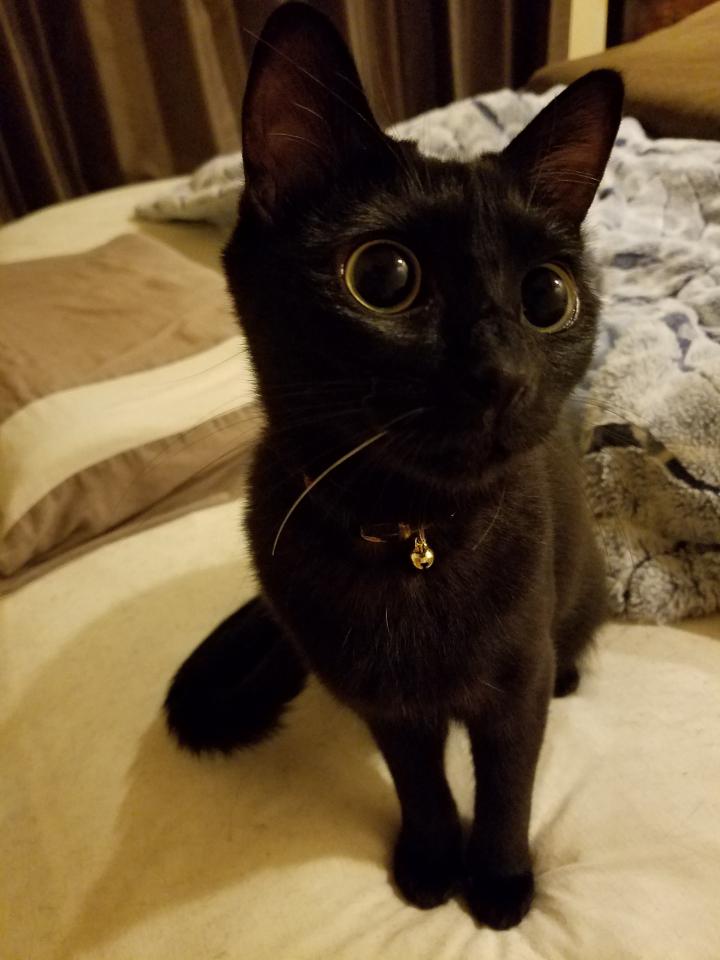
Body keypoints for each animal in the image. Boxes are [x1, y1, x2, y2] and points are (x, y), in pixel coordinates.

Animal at [165, 1, 623, 930]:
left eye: (547, 296)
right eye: (382, 276)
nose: (502, 374)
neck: (414, 538)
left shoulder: (512, 685)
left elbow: (508, 787)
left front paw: (498, 883)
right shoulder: (382, 702)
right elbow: (422, 785)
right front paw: (430, 864)